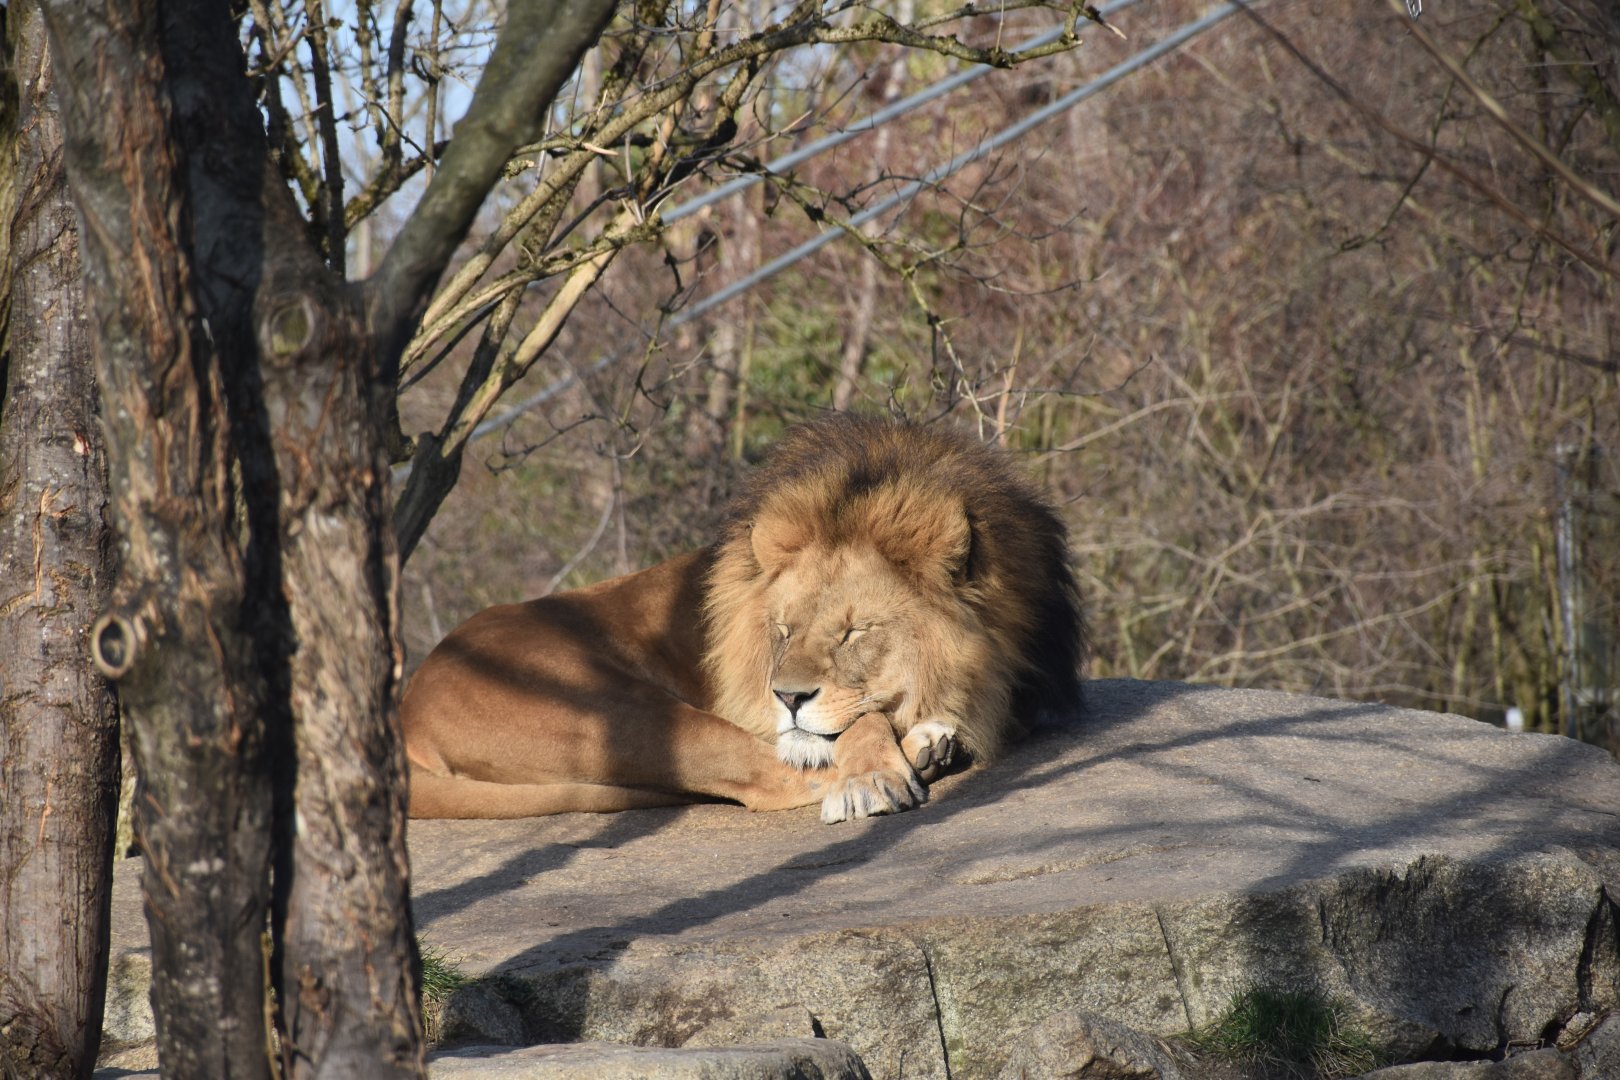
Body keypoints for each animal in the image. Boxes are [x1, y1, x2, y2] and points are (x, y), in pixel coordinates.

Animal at [402, 414, 1086, 823]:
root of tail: (411, 701)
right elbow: (852, 726)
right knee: (770, 779)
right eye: (782, 630)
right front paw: (874, 773)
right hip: (614, 708)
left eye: (852, 632)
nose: (786, 696)